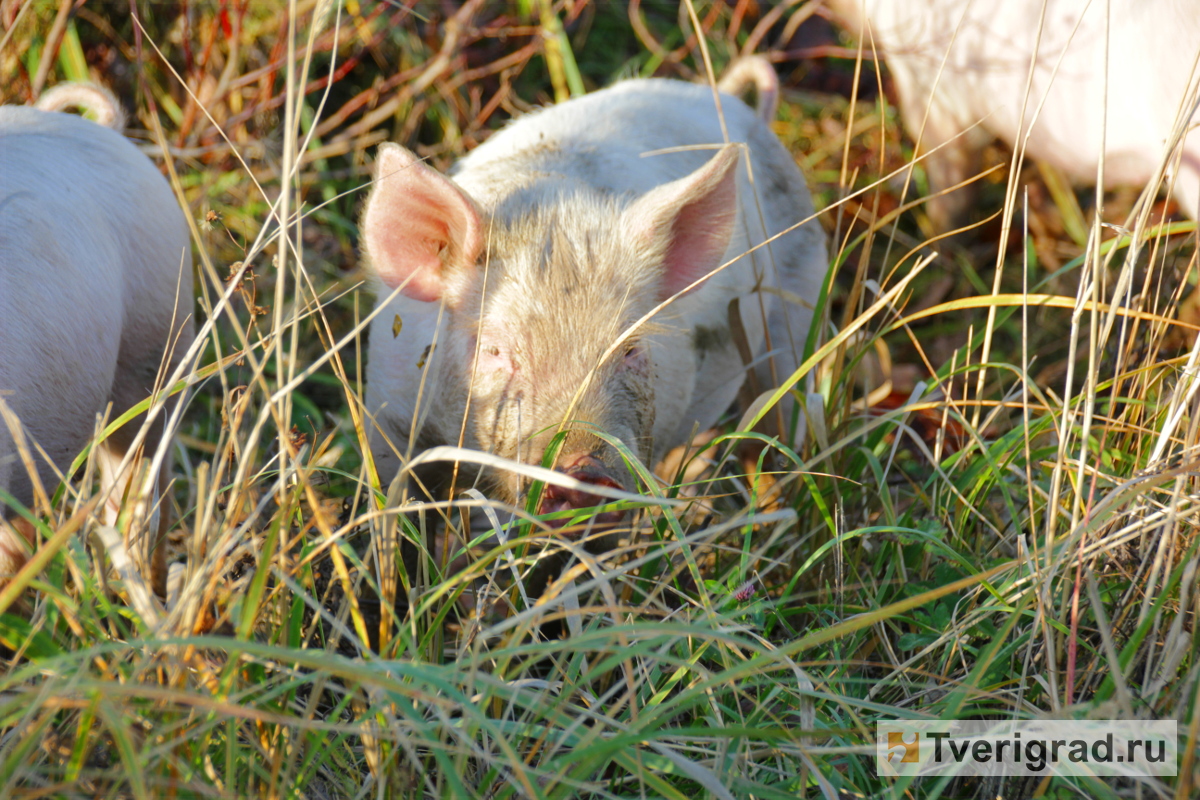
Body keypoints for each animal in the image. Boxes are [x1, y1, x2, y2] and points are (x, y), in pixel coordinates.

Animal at [360, 57, 830, 537]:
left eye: (632, 349)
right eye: (493, 350)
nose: (586, 471)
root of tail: (736, 103)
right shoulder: (387, 411)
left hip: (799, 309)